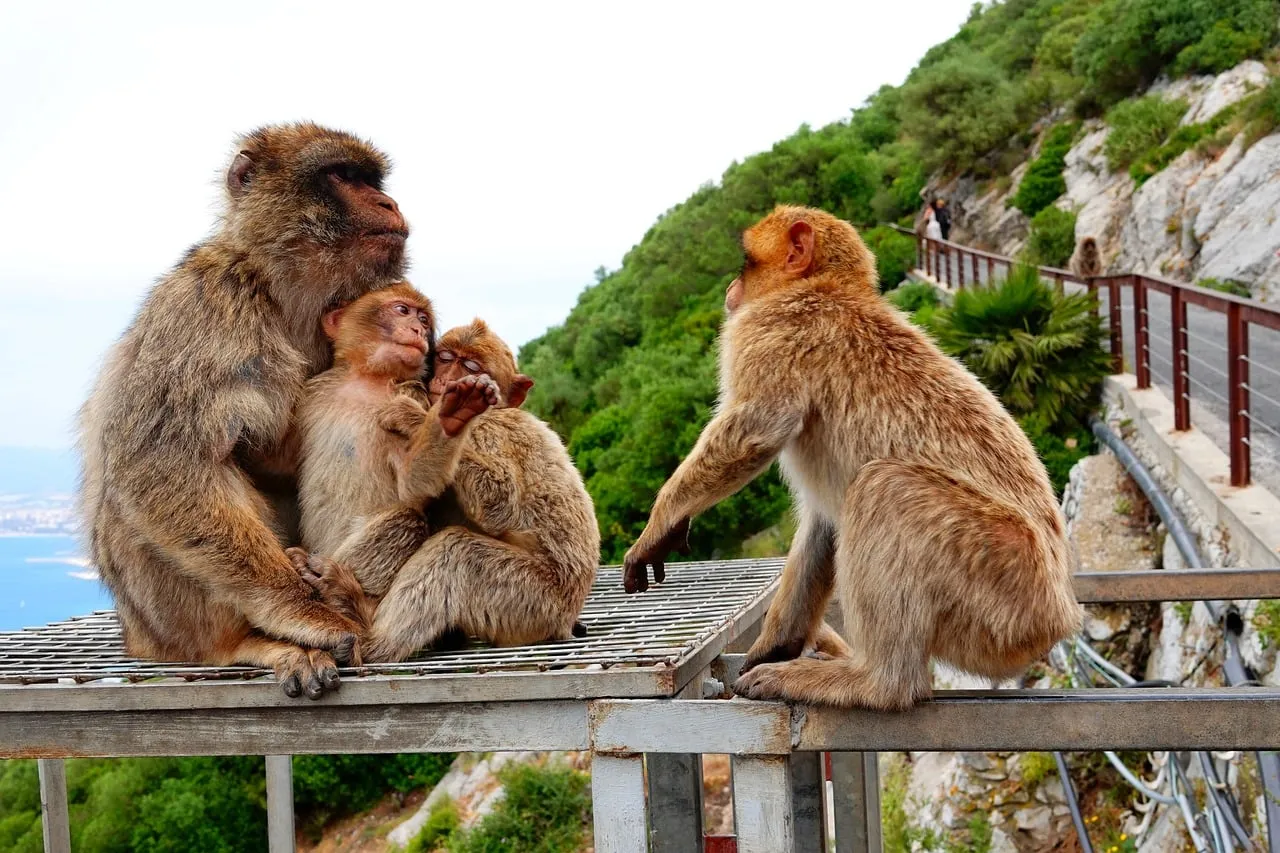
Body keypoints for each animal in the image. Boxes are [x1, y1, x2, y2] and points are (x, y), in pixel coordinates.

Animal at [78, 123, 411, 699]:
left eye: (372, 180)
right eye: (343, 175)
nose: (388, 203)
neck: (287, 289)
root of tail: (134, 636)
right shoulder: (208, 303)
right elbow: (161, 466)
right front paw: (303, 613)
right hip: (156, 619)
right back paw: (243, 644)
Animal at [296, 319, 599, 662]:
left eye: (471, 366)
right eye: (446, 357)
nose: (446, 380)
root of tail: (567, 615)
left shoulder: (487, 429)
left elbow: (500, 503)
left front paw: (429, 417)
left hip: (533, 600)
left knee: (458, 553)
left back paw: (367, 632)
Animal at [622, 205, 1082, 711]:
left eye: (746, 262)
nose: (730, 290)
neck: (824, 289)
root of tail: (1059, 616)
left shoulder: (766, 330)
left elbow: (756, 430)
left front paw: (661, 522)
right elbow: (823, 524)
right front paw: (775, 646)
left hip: (1002, 579)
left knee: (884, 488)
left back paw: (876, 681)